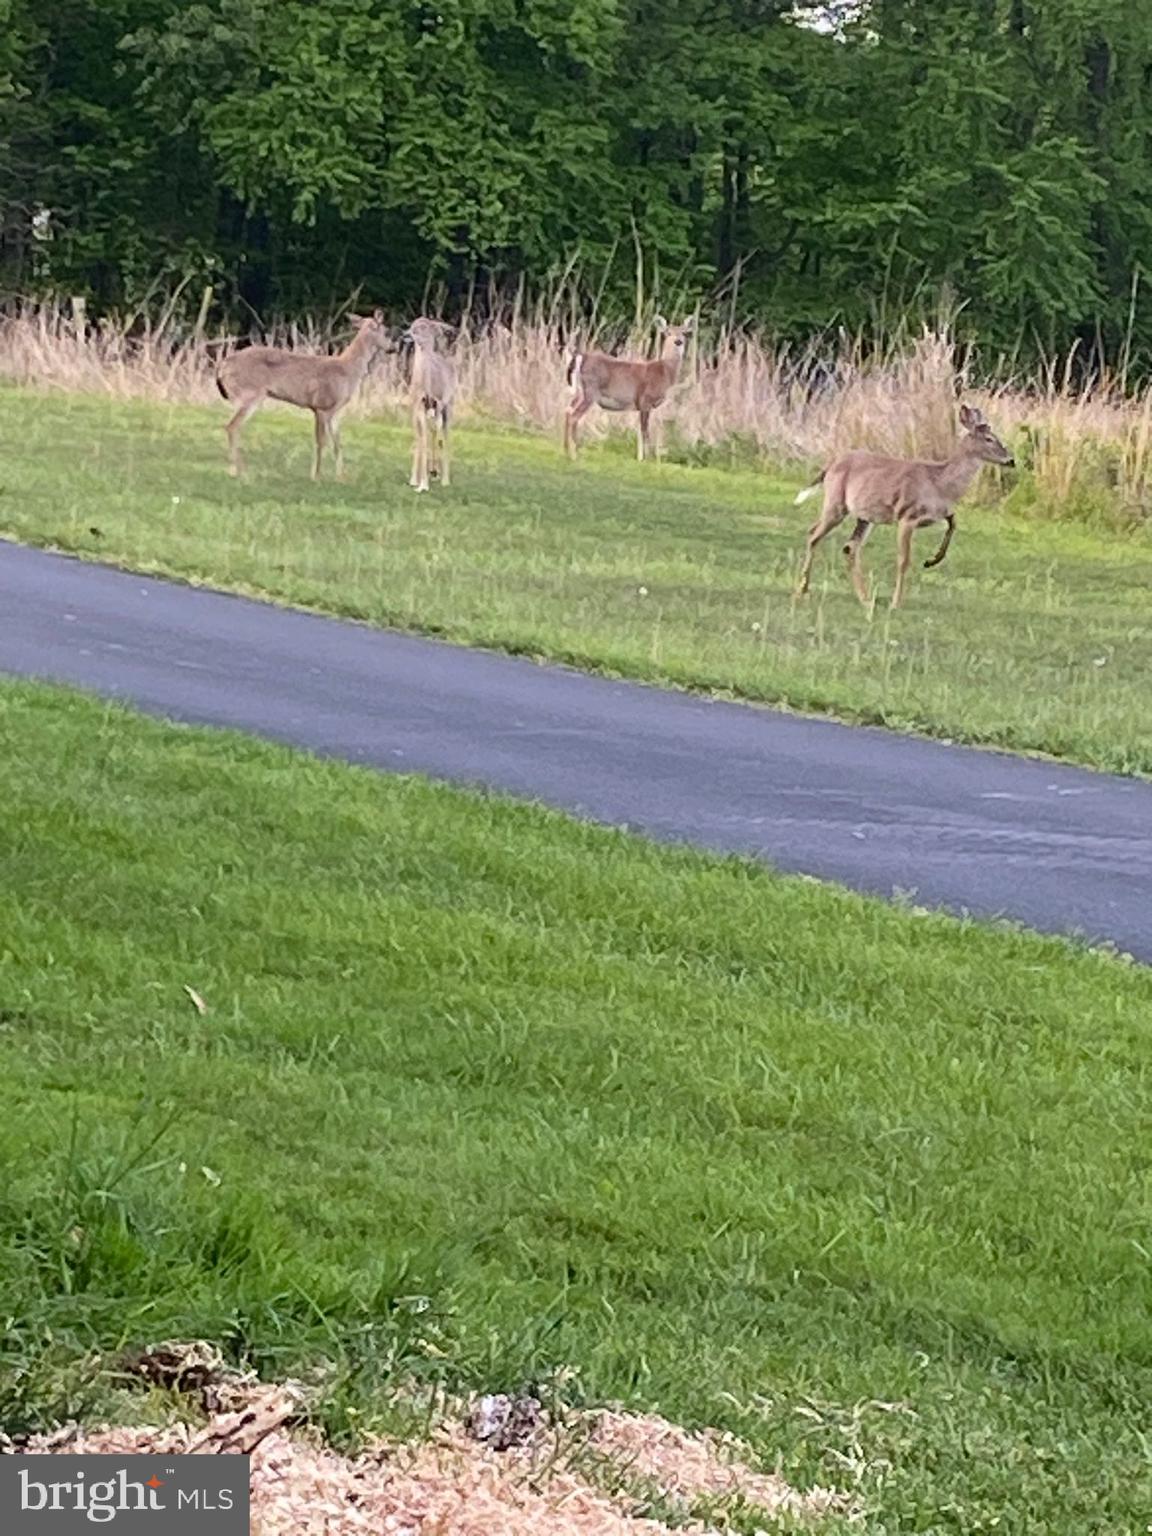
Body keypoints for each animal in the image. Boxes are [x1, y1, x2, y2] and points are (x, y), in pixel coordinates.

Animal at [215, 310, 394, 479]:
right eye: (386, 331)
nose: (393, 348)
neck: (347, 370)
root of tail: (222, 366)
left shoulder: (335, 412)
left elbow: (337, 443)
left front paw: (342, 477)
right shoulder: (322, 405)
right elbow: (321, 441)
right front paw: (316, 476)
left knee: (233, 426)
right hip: (249, 393)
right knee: (232, 427)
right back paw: (239, 471)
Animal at [404, 317, 457, 492]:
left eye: (426, 328)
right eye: (413, 327)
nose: (406, 334)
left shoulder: (440, 403)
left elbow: (439, 438)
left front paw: (432, 480)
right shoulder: (419, 406)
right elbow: (423, 439)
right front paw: (420, 483)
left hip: (448, 406)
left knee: (444, 435)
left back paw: (443, 477)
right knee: (425, 434)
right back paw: (425, 474)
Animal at [564, 316, 694, 462]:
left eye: (685, 333)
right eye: (668, 332)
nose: (678, 341)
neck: (664, 371)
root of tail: (581, 356)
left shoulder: (641, 405)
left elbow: (639, 430)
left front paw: (640, 458)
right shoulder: (645, 400)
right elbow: (644, 430)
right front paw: (648, 458)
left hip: (580, 392)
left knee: (567, 411)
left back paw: (565, 450)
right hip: (591, 391)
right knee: (574, 416)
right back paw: (574, 455)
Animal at [794, 404, 1015, 609]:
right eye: (989, 439)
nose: (1011, 460)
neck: (940, 483)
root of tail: (830, 464)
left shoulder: (939, 513)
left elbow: (953, 523)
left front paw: (931, 561)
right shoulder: (907, 516)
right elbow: (904, 560)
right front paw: (895, 603)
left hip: (865, 516)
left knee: (850, 547)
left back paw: (865, 599)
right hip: (836, 503)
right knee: (814, 534)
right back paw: (803, 591)